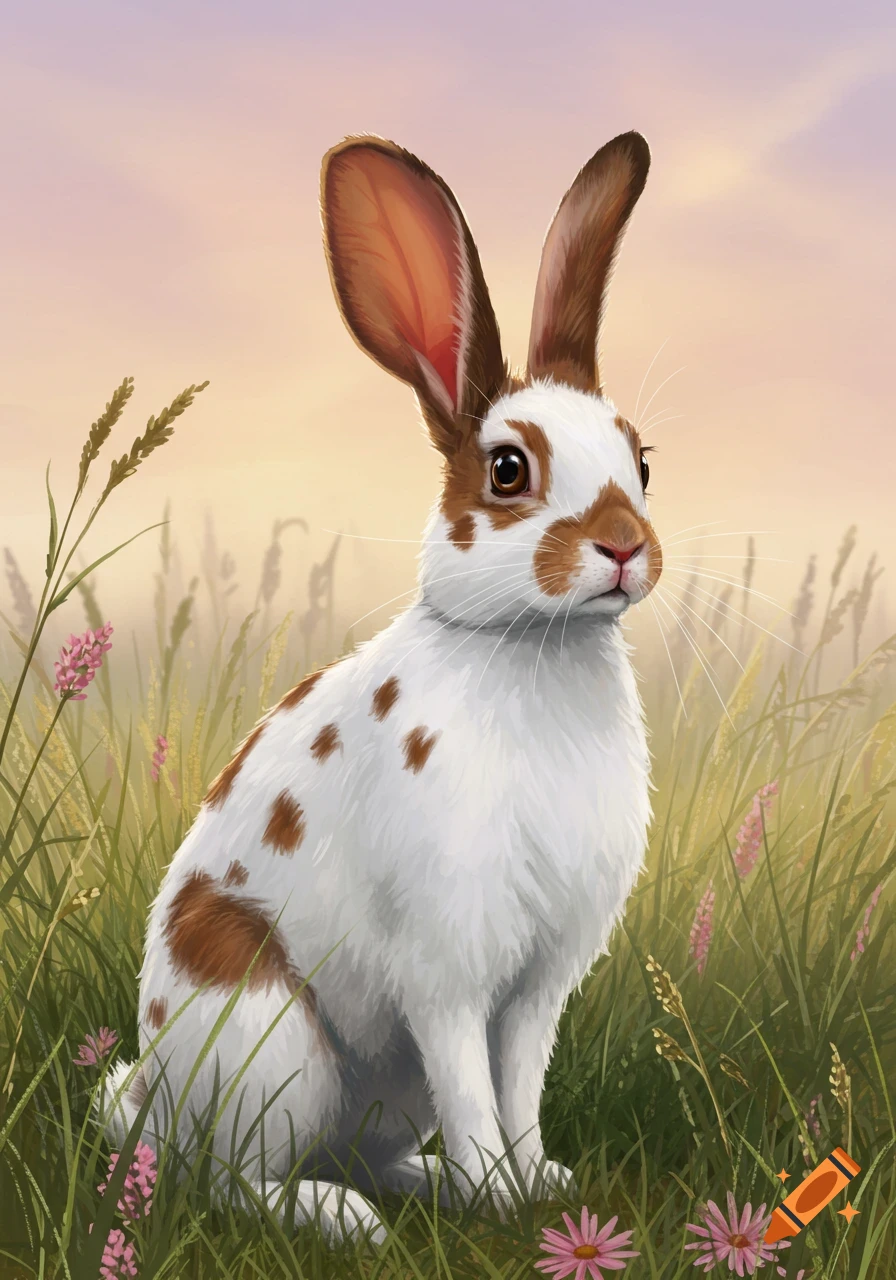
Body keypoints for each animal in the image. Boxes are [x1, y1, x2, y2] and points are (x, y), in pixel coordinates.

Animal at [99, 128, 661, 1248]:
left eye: (643, 463)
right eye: (506, 469)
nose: (625, 546)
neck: (536, 654)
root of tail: (155, 1100)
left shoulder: (539, 983)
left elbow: (518, 1082)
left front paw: (538, 1182)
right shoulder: (445, 964)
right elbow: (473, 1081)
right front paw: (499, 1192)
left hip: (372, 1092)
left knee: (364, 1150)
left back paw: (426, 1187)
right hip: (267, 1030)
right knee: (230, 1179)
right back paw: (344, 1216)